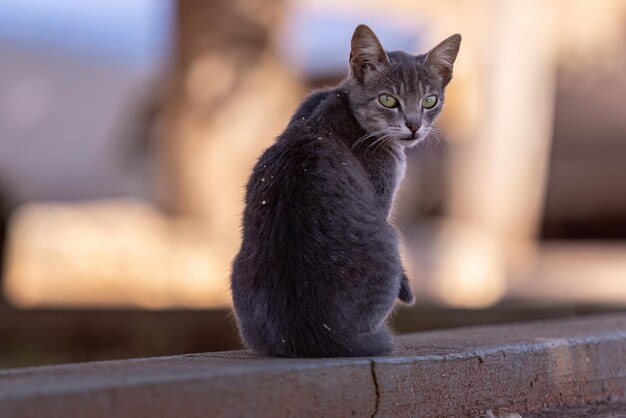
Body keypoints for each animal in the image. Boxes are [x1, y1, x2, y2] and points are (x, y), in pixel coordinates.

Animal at [229, 23, 458, 356]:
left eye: (430, 101)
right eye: (388, 100)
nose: (414, 126)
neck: (341, 102)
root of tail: (311, 331)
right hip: (390, 240)